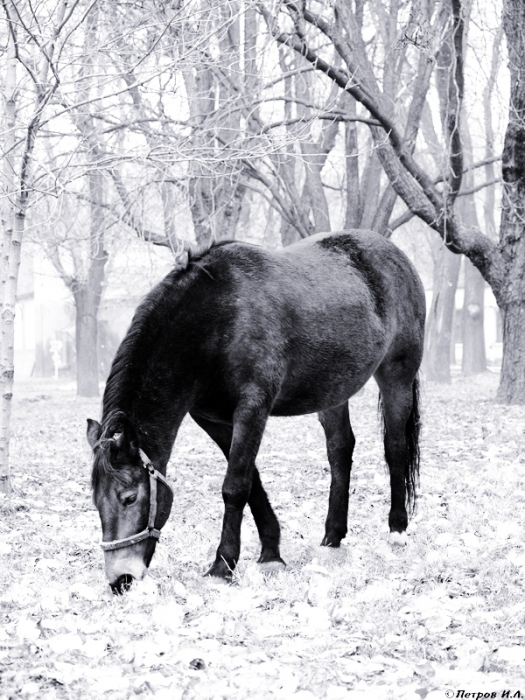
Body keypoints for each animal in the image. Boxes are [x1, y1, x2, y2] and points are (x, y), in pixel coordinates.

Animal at [87, 229, 425, 594]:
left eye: (129, 498)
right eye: (96, 501)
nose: (121, 579)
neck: (216, 320)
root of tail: (395, 256)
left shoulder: (252, 409)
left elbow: (235, 486)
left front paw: (222, 565)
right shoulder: (215, 420)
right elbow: (253, 484)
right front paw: (271, 553)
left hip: (397, 375)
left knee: (395, 448)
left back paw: (397, 530)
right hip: (334, 391)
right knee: (340, 450)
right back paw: (332, 536)